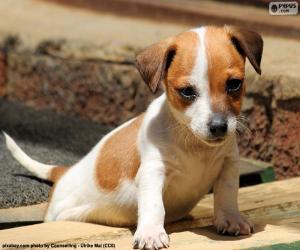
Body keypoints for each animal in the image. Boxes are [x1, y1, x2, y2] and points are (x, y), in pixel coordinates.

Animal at [2, 24, 262, 249]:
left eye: (234, 84)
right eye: (187, 91)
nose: (219, 126)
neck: (193, 143)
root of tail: (65, 172)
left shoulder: (229, 164)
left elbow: (227, 194)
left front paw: (230, 219)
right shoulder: (152, 171)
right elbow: (154, 205)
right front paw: (151, 233)